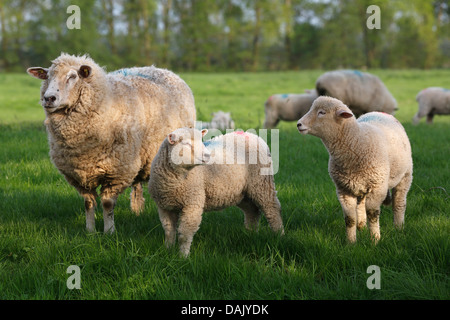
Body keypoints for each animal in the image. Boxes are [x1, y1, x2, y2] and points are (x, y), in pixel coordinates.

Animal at [27, 52, 196, 232]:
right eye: (47, 76)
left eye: (72, 76)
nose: (48, 98)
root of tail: (157, 68)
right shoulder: (79, 173)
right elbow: (88, 203)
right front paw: (90, 231)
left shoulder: (117, 171)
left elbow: (108, 204)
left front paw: (109, 231)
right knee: (137, 187)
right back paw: (137, 212)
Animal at [149, 126, 284, 256]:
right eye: (186, 143)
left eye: (201, 141)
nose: (207, 156)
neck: (174, 181)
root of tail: (251, 134)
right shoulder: (164, 207)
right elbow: (169, 231)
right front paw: (167, 250)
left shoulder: (193, 203)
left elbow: (184, 235)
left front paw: (183, 256)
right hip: (241, 192)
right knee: (253, 211)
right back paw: (251, 234)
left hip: (262, 183)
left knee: (272, 208)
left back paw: (279, 234)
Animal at [298, 96, 414, 244]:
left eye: (322, 112)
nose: (299, 124)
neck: (356, 141)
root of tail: (379, 112)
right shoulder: (343, 190)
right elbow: (350, 219)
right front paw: (351, 243)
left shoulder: (377, 188)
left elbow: (372, 214)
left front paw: (375, 240)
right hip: (359, 185)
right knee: (361, 204)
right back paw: (361, 225)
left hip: (405, 175)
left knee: (399, 203)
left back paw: (399, 227)